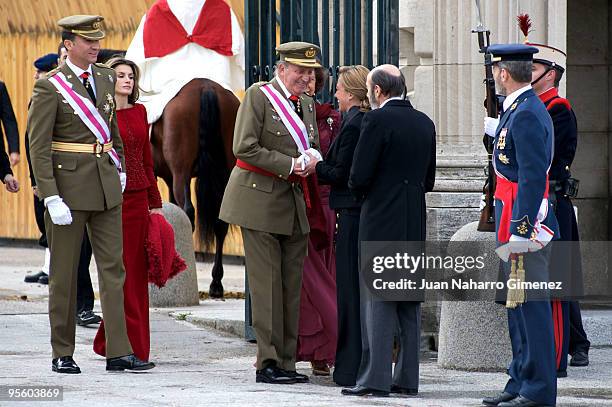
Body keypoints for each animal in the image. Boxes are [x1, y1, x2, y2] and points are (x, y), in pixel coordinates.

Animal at [149, 79, 240, 298]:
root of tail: (205, 86)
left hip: (181, 173)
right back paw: (216, 283)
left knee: (188, 212)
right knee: (220, 222)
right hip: (226, 171)